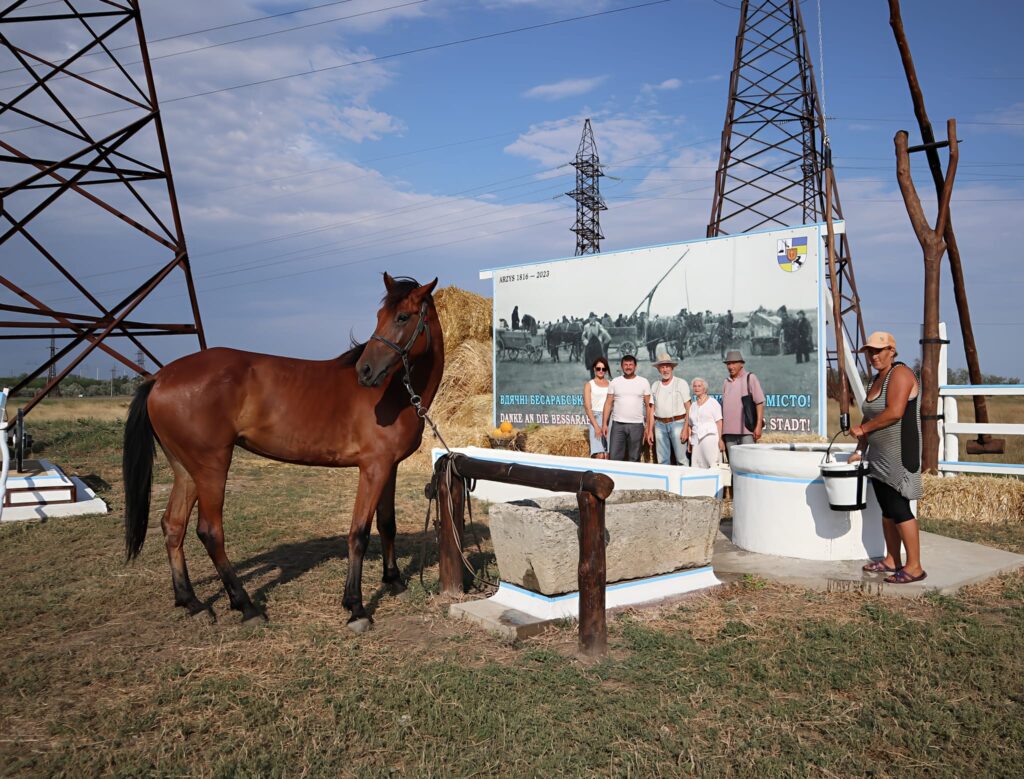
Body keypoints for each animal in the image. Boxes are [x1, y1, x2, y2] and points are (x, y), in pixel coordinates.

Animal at [121, 274, 442, 626]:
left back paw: (191, 601)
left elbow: (387, 524)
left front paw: (394, 581)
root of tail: (160, 378)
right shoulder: (373, 468)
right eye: (380, 316)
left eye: (402, 317)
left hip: (185, 469)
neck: (395, 393)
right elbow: (358, 533)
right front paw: (355, 606)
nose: (365, 371)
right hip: (211, 467)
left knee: (172, 525)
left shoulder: (389, 466)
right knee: (210, 532)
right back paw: (246, 606)